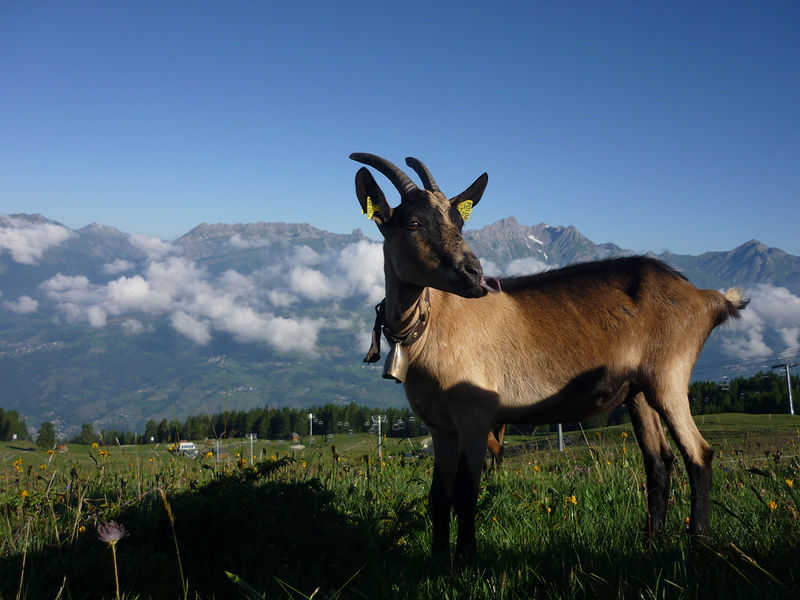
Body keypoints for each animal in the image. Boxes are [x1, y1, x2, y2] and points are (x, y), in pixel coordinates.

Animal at [352, 151, 752, 556]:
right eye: (414, 223)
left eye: (459, 222)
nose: (474, 273)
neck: (430, 327)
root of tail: (705, 297)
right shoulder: (441, 427)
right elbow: (438, 497)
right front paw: (438, 559)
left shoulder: (475, 416)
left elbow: (465, 494)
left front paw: (466, 559)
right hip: (638, 391)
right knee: (658, 461)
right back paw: (651, 541)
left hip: (668, 375)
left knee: (698, 453)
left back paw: (699, 542)